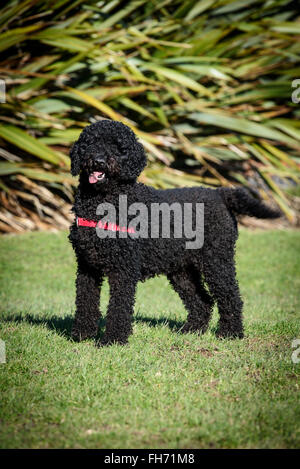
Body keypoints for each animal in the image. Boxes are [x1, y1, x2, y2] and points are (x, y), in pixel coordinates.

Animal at [69, 119, 280, 346]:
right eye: (90, 143)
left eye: (119, 148)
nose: (99, 161)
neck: (104, 202)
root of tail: (219, 193)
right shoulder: (87, 266)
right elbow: (85, 300)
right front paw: (82, 334)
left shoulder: (123, 269)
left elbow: (119, 306)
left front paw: (112, 340)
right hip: (182, 269)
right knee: (203, 301)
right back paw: (191, 330)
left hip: (217, 261)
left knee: (231, 297)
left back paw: (231, 333)